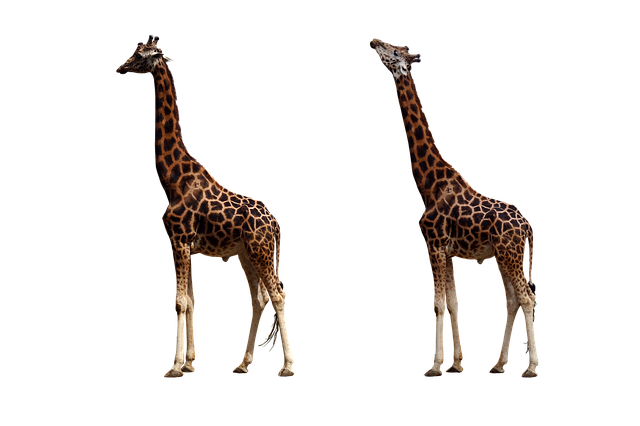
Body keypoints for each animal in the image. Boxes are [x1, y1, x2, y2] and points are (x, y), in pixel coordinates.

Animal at [117, 34, 295, 379]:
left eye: (140, 54)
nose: (121, 66)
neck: (172, 179)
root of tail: (277, 224)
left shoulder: (181, 240)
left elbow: (179, 301)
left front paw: (174, 367)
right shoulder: (180, 243)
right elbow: (189, 299)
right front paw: (188, 362)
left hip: (261, 251)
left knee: (277, 296)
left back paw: (289, 366)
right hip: (248, 253)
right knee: (259, 297)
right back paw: (243, 364)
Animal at [370, 37, 539, 379]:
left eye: (393, 51)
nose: (373, 41)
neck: (428, 184)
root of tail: (528, 227)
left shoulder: (434, 245)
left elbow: (437, 304)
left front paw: (434, 367)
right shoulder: (446, 251)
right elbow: (451, 303)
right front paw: (456, 363)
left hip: (511, 255)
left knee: (527, 299)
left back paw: (531, 368)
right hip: (506, 256)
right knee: (513, 299)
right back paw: (498, 365)